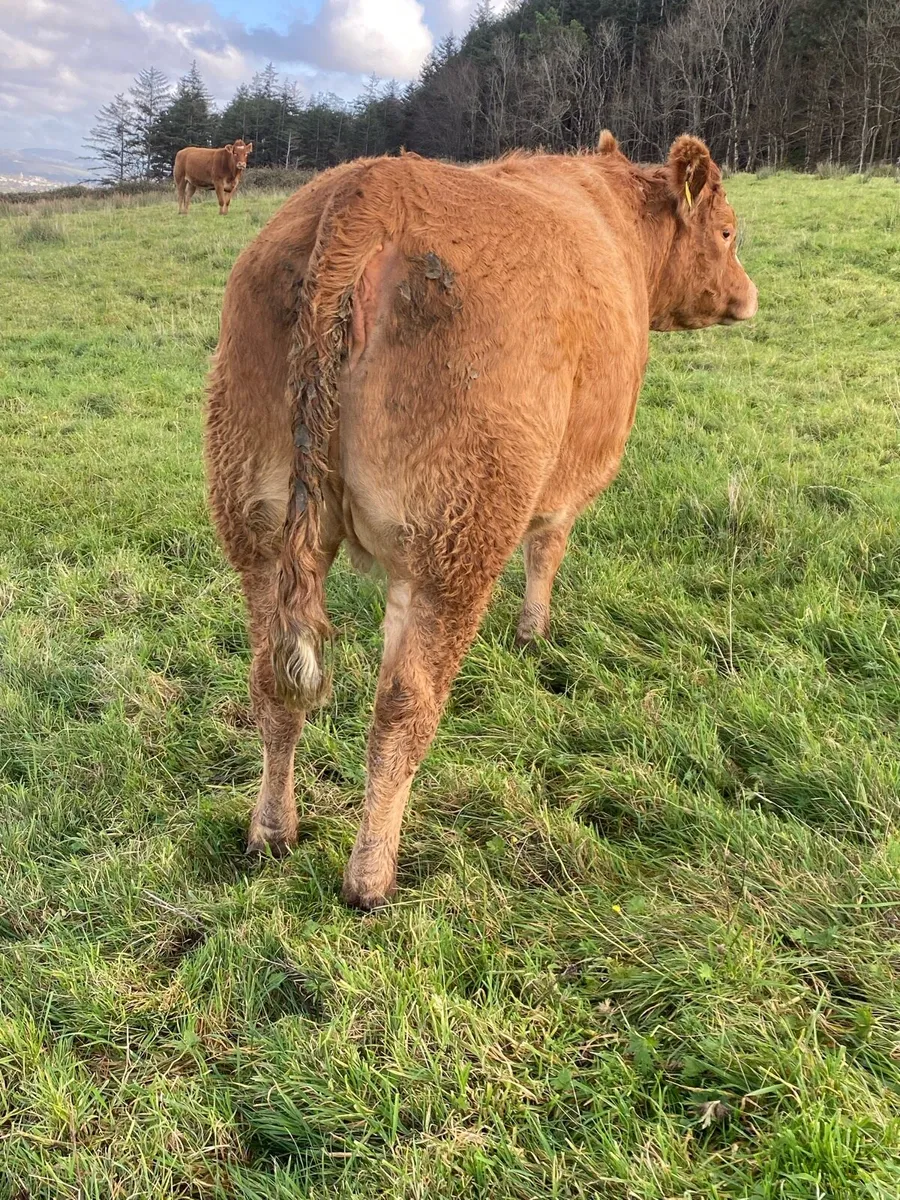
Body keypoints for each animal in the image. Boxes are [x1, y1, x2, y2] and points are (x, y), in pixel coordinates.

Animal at [204, 132, 758, 910]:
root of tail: (368, 192)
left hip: (258, 522)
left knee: (274, 684)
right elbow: (547, 547)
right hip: (452, 539)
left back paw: (272, 831)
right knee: (404, 706)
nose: (748, 295)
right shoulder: (569, 475)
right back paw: (370, 876)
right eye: (728, 232)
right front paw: (532, 633)